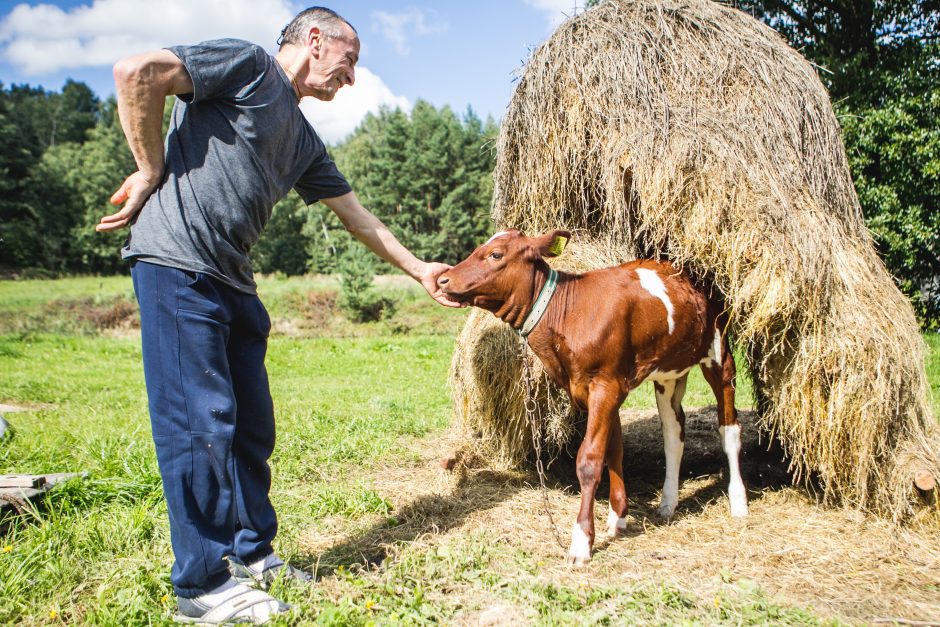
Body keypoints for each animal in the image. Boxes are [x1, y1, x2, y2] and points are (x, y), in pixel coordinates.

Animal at [440, 229, 748, 564]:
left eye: (496, 254)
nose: (443, 279)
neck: (568, 313)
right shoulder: (594, 388)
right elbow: (613, 450)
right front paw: (618, 517)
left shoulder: (605, 385)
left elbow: (589, 460)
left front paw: (581, 541)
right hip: (668, 371)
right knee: (673, 432)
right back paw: (668, 502)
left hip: (719, 354)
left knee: (729, 429)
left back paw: (738, 501)